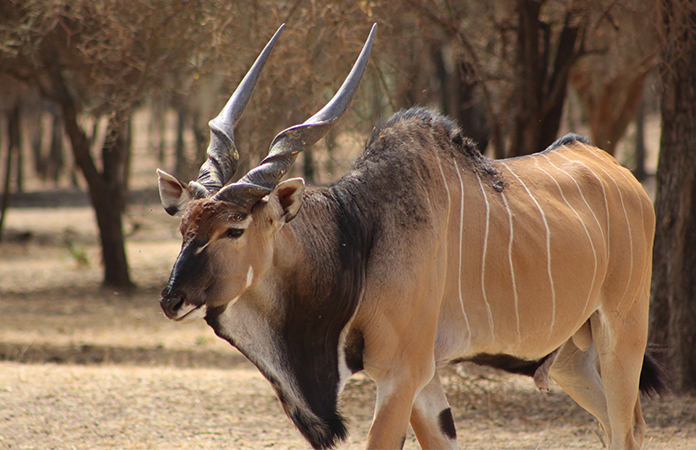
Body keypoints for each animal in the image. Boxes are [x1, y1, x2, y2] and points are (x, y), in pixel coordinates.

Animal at [156, 24, 664, 450]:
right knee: (617, 424)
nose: (171, 299)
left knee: (626, 427)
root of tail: (620, 173)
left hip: (622, 329)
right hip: (569, 355)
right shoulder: (425, 380)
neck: (361, 234)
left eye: (234, 228)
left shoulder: (401, 375)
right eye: (184, 227)